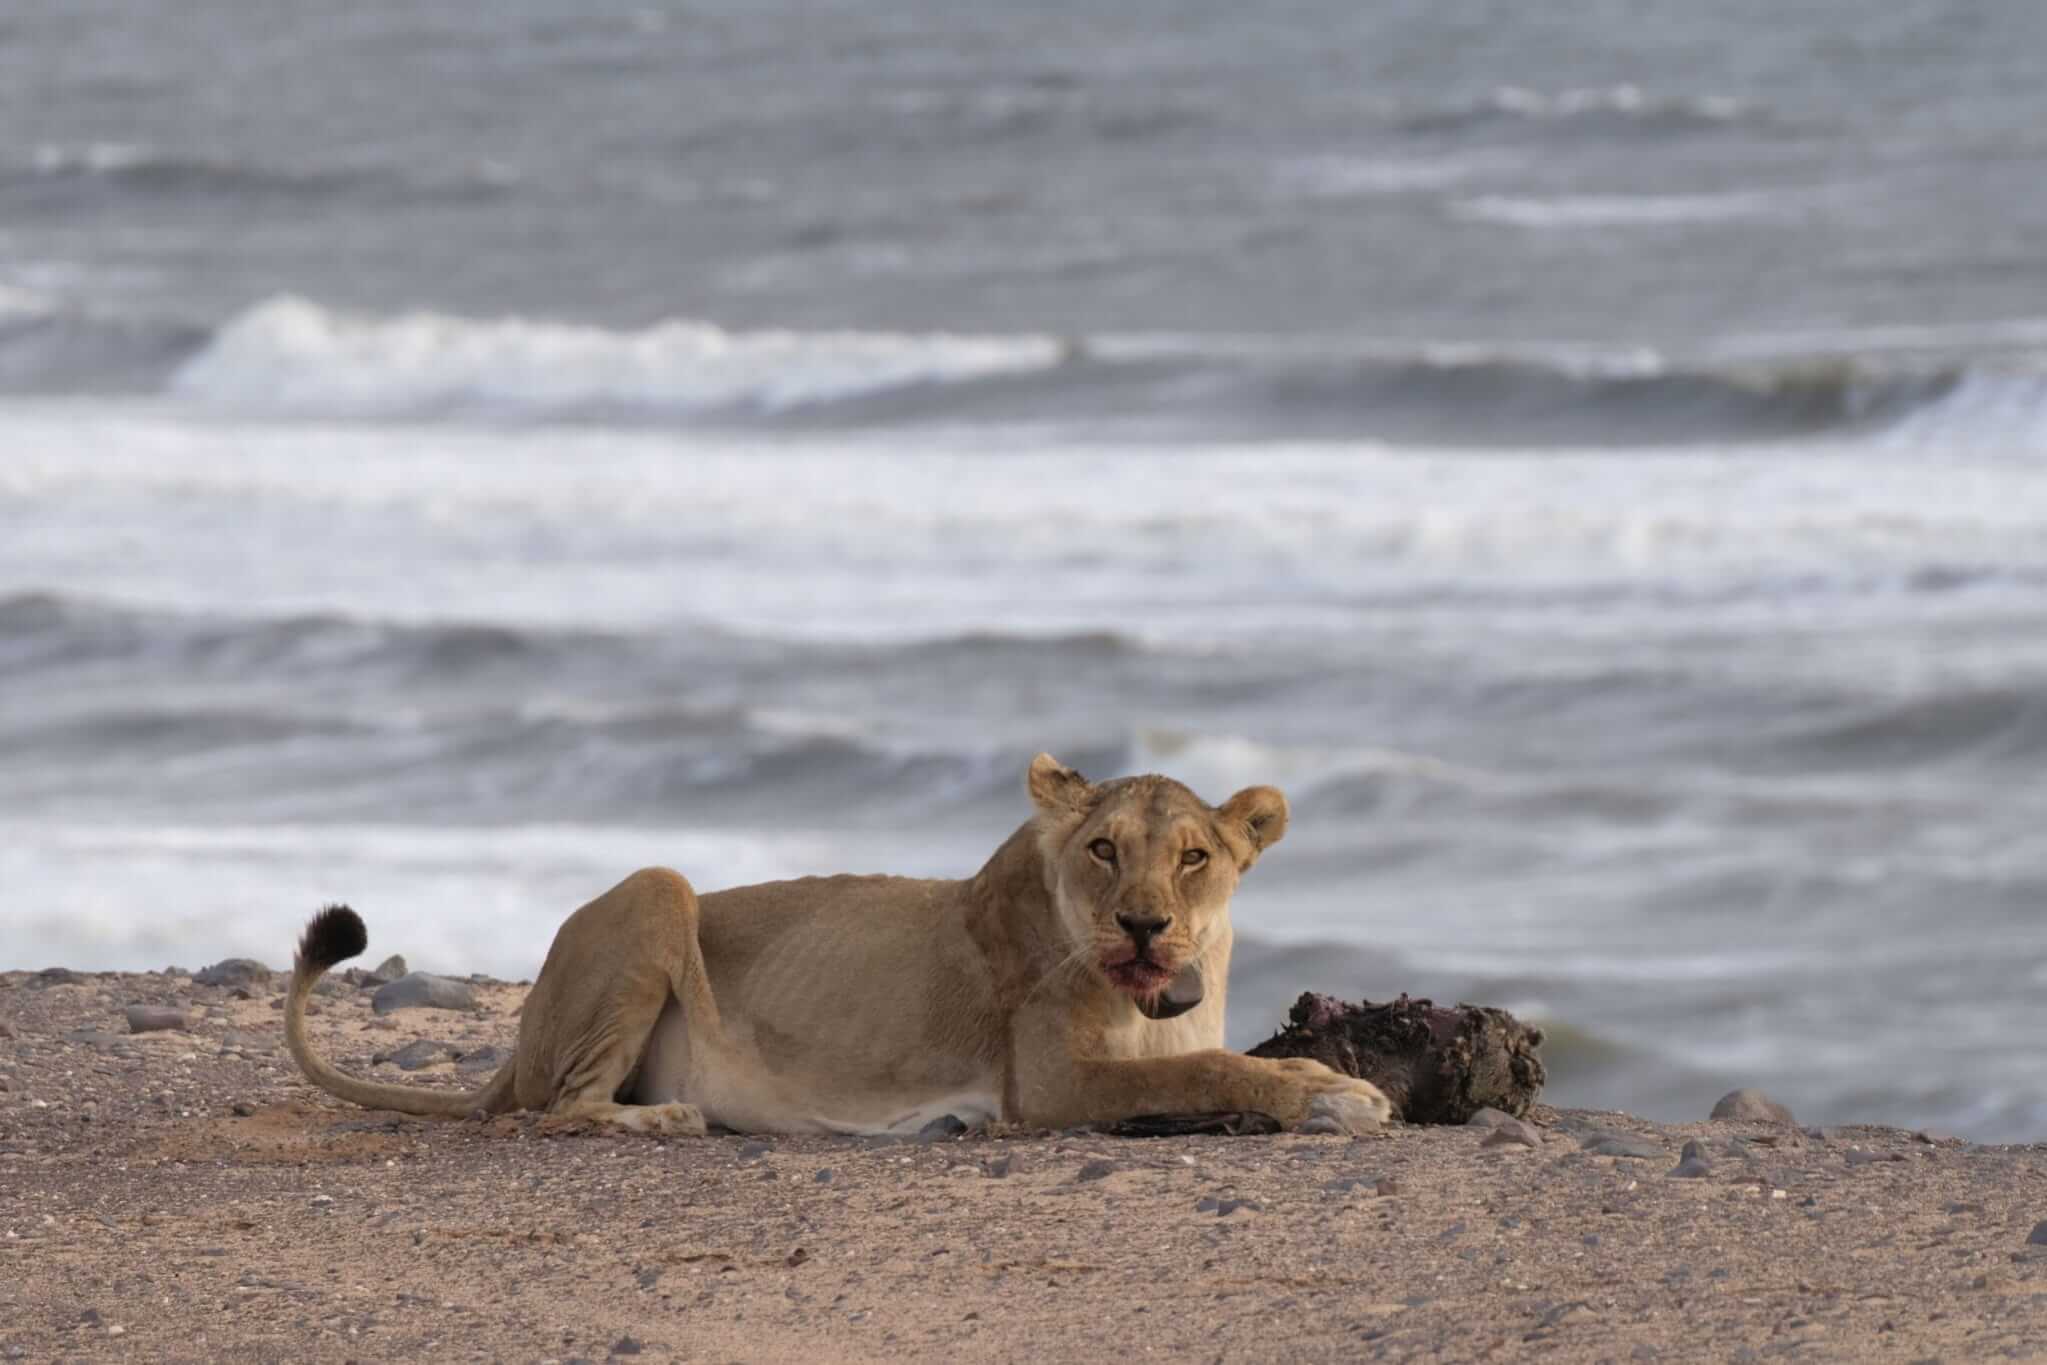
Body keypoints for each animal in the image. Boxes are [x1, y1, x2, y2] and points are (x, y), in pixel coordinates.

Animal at [284, 754, 1392, 1136]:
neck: (1161, 994)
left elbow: (1232, 1056)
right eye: (1103, 849)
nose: (1143, 923)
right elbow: (1203, 1069)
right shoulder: (1049, 1088)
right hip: (658, 887)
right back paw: (668, 1118)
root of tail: (509, 1052)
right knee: (561, 1107)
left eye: (1195, 856)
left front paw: (1328, 1079)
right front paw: (1328, 1097)